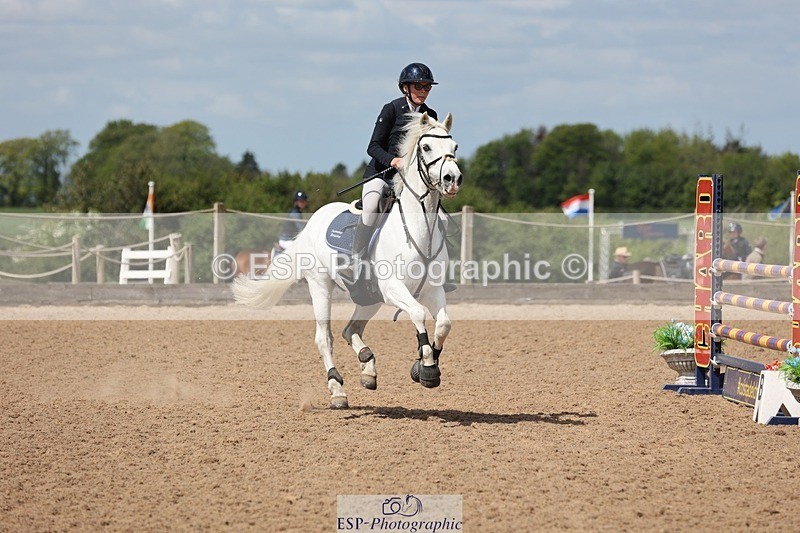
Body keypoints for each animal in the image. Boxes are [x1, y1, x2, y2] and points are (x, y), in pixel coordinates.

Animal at [232, 112, 463, 408]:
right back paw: (337, 390)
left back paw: (367, 368)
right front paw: (427, 368)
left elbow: (443, 324)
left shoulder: (432, 289)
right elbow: (418, 313)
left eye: (454, 147)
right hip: (321, 286)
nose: (452, 179)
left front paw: (426, 365)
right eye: (426, 147)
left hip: (368, 297)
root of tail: (315, 220)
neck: (417, 230)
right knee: (325, 338)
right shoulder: (393, 288)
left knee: (350, 329)